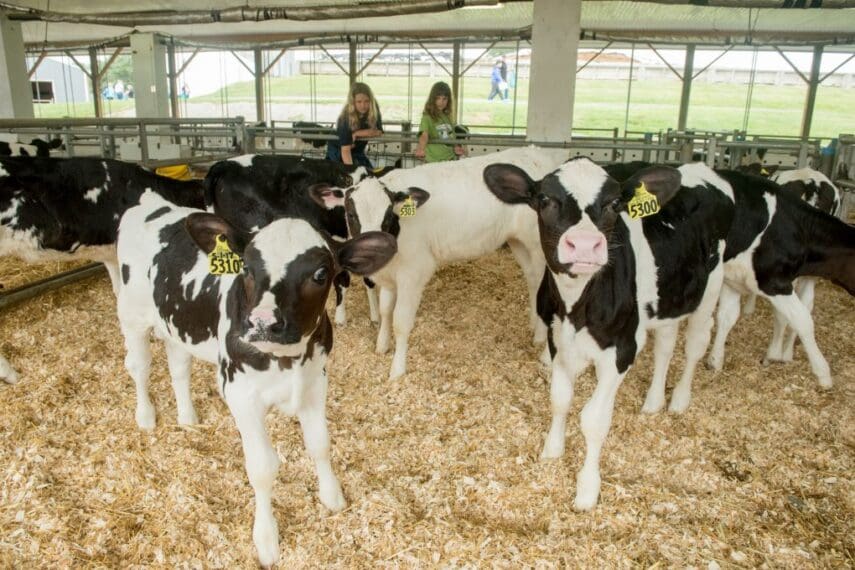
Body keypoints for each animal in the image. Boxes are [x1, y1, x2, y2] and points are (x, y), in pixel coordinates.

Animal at [116, 191, 396, 566]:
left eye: (321, 273)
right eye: (246, 268)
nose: (262, 322)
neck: (288, 360)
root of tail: (152, 203)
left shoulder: (315, 381)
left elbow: (320, 444)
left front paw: (332, 496)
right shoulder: (241, 394)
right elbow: (262, 468)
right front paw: (266, 539)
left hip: (176, 323)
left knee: (178, 366)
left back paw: (187, 417)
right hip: (131, 315)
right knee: (140, 365)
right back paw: (146, 416)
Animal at [312, 146, 570, 380]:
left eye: (387, 214)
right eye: (351, 214)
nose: (375, 250)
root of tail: (538, 152)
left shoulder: (413, 273)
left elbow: (401, 321)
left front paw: (397, 370)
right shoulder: (390, 276)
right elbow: (385, 310)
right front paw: (381, 345)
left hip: (541, 247)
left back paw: (542, 340)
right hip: (519, 243)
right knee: (533, 280)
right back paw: (534, 327)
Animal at [483, 158, 732, 509]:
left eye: (615, 203)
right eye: (544, 199)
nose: (586, 245)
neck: (576, 308)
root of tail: (699, 167)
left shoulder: (622, 350)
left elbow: (594, 420)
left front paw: (587, 489)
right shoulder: (558, 340)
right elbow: (559, 399)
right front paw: (552, 451)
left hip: (710, 287)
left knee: (695, 344)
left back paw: (679, 400)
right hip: (667, 300)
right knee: (666, 345)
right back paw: (654, 401)